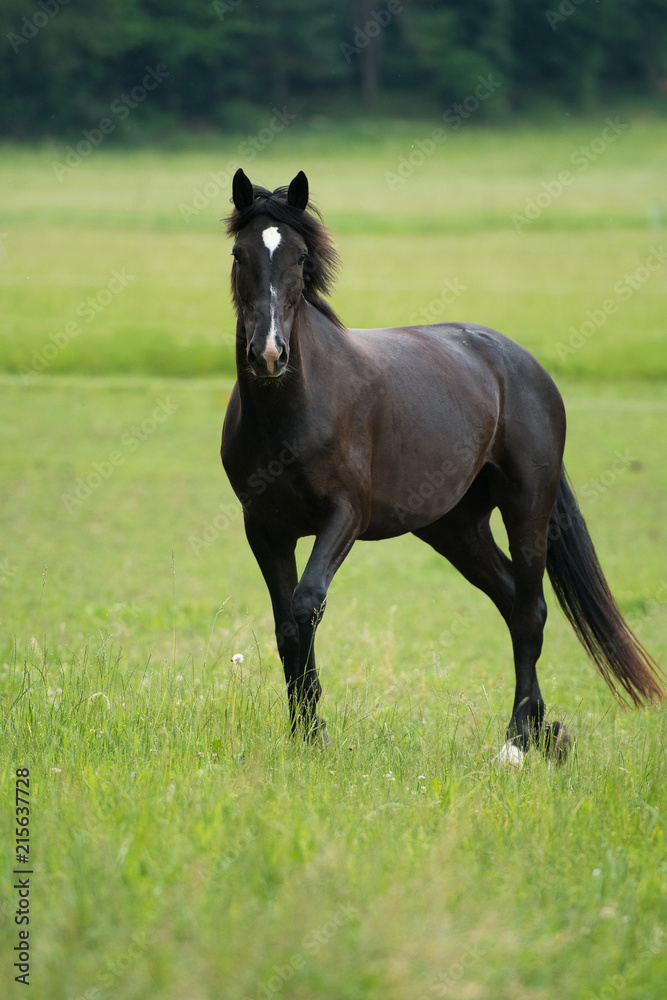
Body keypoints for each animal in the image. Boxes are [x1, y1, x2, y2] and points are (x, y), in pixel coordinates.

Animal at [220, 168, 664, 756]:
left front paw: (315, 733)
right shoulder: (264, 528)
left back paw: (517, 742)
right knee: (510, 599)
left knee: (530, 611)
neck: (290, 411)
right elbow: (286, 627)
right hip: (455, 527)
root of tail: (522, 363)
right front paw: (304, 733)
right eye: (240, 254)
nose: (269, 354)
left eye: (299, 256)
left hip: (528, 508)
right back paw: (545, 731)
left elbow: (306, 602)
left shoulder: (344, 517)